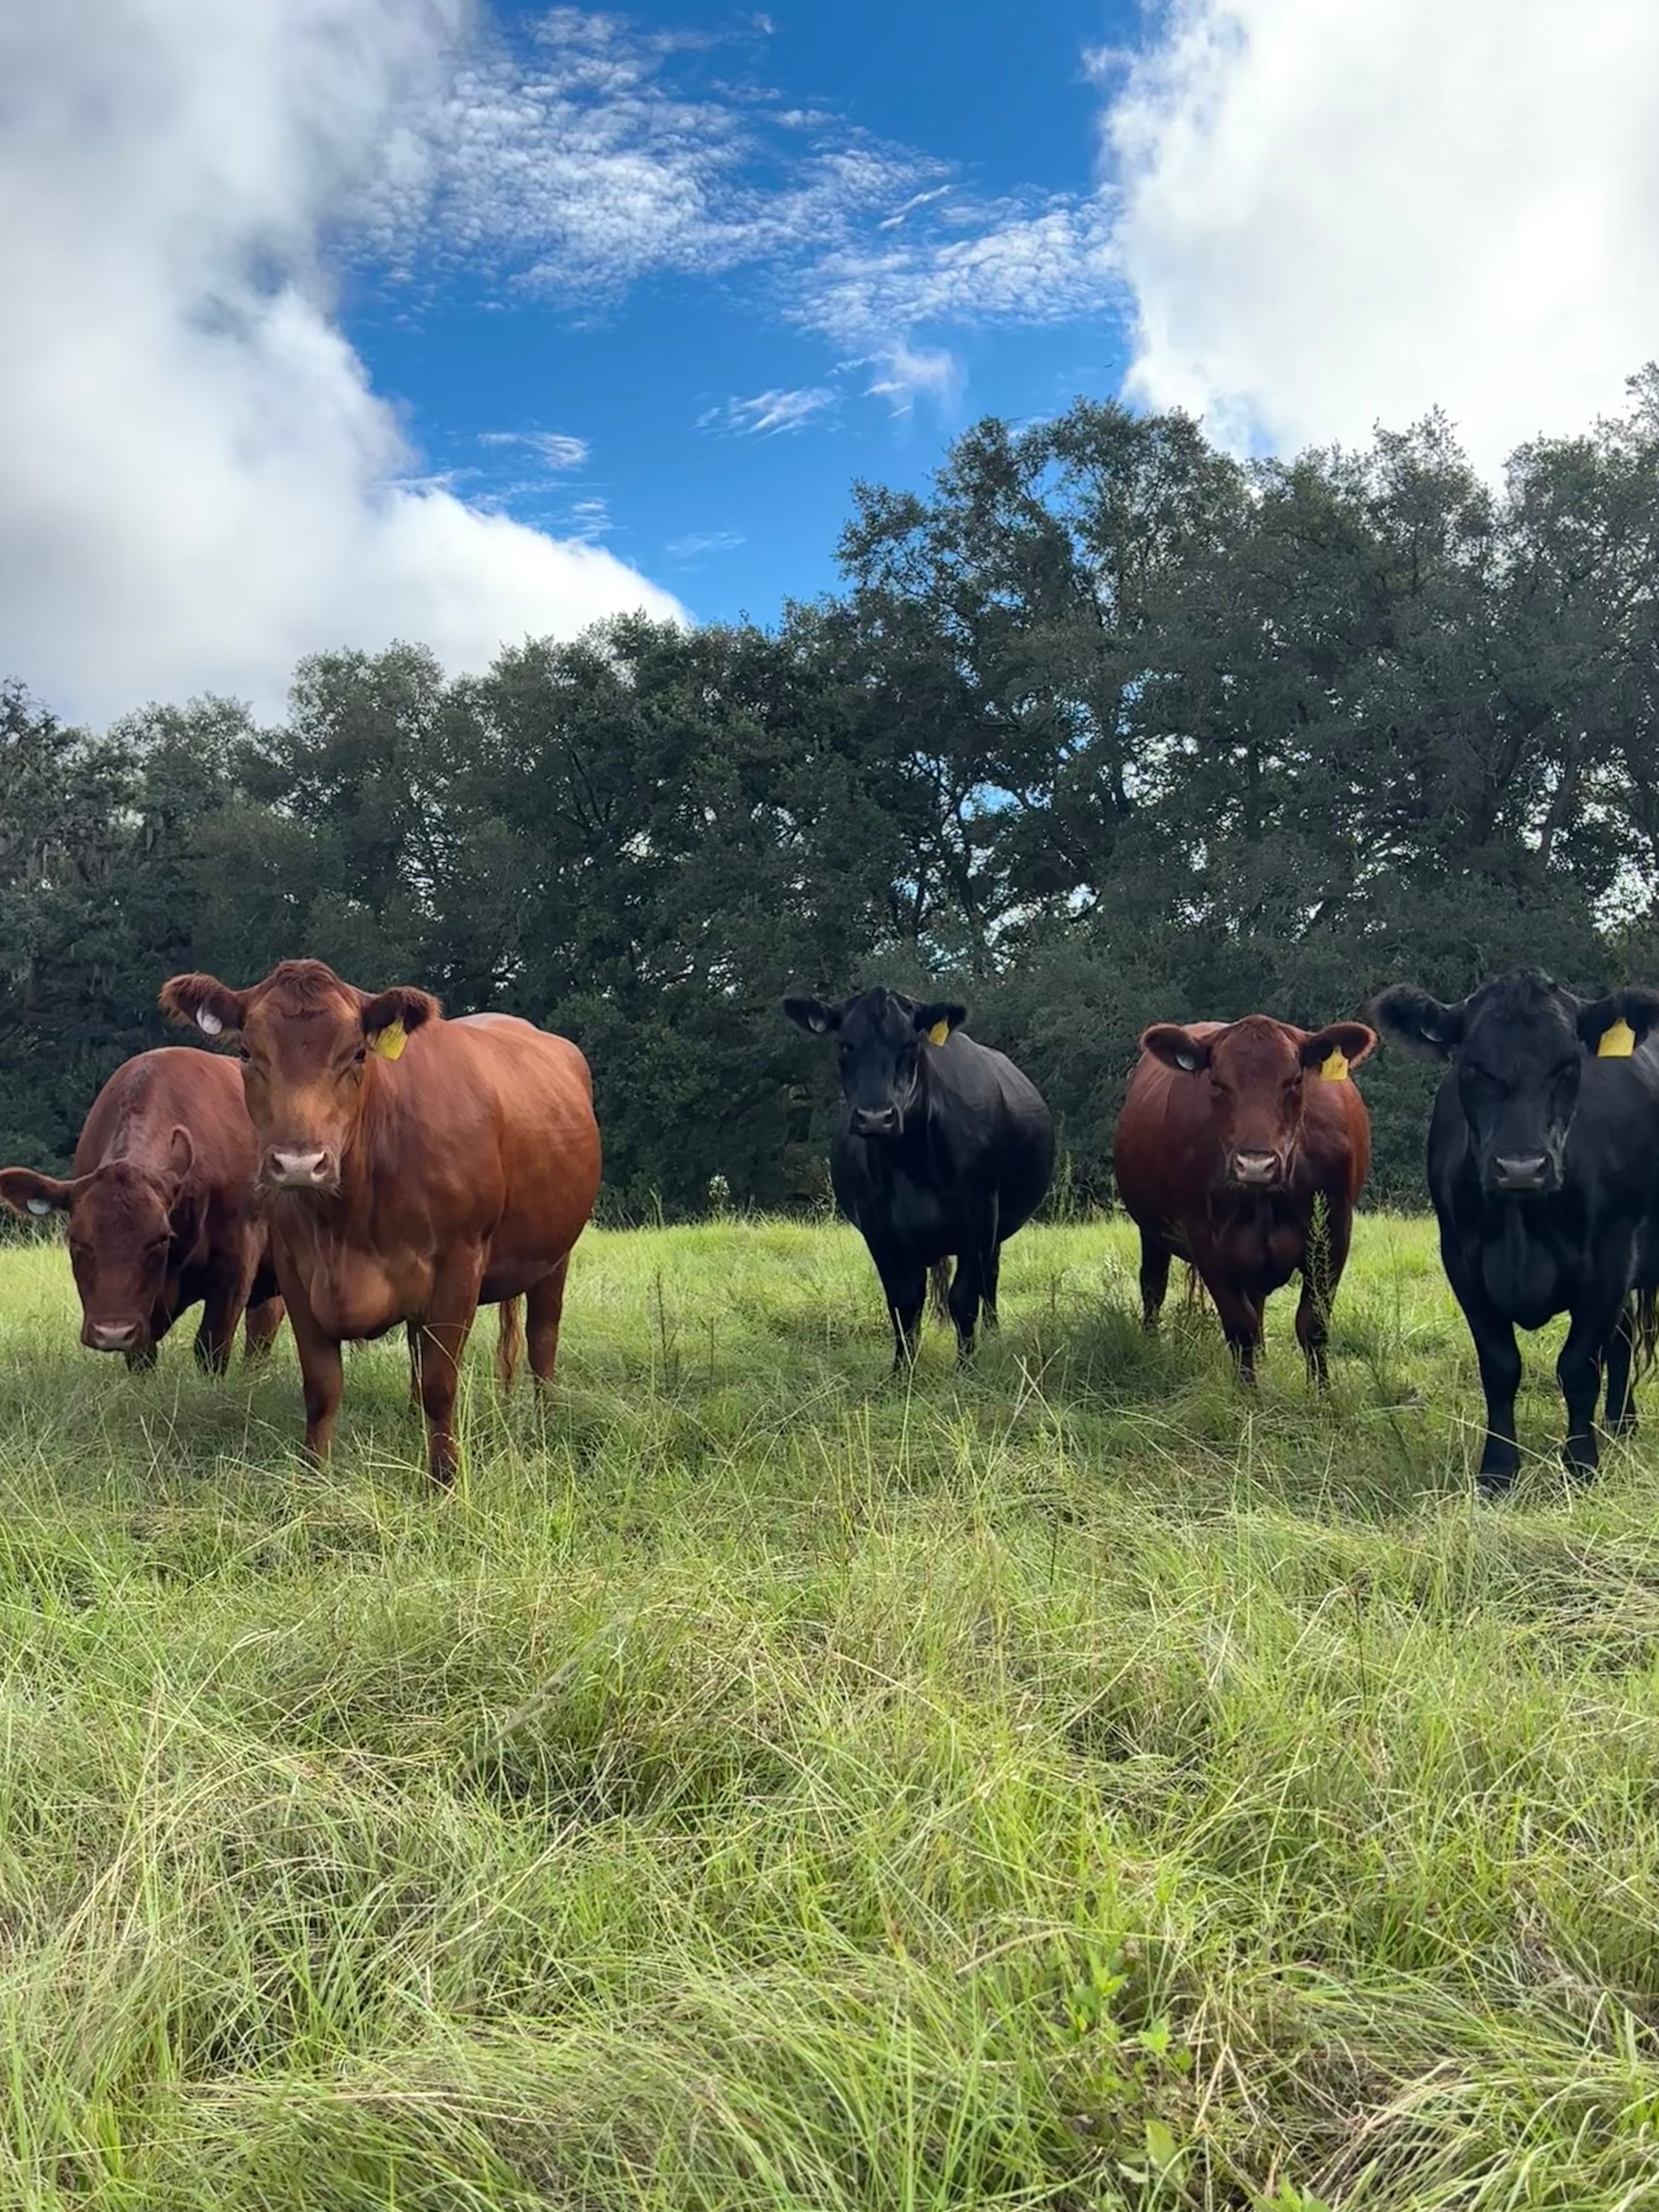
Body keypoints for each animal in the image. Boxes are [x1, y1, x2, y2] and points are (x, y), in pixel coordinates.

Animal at [0, 1047, 283, 1370]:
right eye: (75, 1241)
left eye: (161, 1239)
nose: (112, 1333)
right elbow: (141, 1356)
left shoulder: (238, 1260)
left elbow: (211, 1346)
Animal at [158, 960, 601, 1486]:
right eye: (246, 1051)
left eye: (357, 1054)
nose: (300, 1164)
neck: (345, 1226)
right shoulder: (296, 1269)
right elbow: (323, 1385)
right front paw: (314, 1475)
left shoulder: (459, 1264)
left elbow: (441, 1384)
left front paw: (443, 1480)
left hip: (556, 1256)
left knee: (541, 1341)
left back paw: (545, 1421)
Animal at [782, 987, 1054, 1367]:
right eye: (845, 1044)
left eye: (909, 1044)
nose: (876, 1117)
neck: (910, 1162)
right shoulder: (879, 1228)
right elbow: (903, 1303)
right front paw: (903, 1370)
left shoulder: (981, 1216)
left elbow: (963, 1299)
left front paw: (967, 1368)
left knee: (991, 1278)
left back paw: (994, 1334)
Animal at [1112, 1013, 1377, 1385]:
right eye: (1217, 1083)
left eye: (1295, 1081)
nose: (1255, 1164)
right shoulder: (1208, 1242)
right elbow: (1241, 1329)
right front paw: (1248, 1394)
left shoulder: (1333, 1235)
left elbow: (1314, 1325)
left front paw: (1322, 1393)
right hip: (1151, 1232)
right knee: (1153, 1286)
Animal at [1370, 969, 1659, 1492]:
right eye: (1471, 1066)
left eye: (1569, 1065)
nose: (1521, 1168)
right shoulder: (1462, 1261)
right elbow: (1501, 1367)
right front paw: (1498, 1472)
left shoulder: (1611, 1258)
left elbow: (1578, 1367)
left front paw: (1581, 1467)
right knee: (1624, 1334)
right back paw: (1620, 1423)